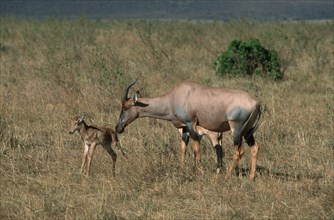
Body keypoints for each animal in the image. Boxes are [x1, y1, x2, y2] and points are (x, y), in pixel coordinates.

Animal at [116, 80, 262, 180]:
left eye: (126, 107)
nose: (118, 127)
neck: (175, 97)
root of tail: (256, 103)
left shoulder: (191, 124)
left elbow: (196, 149)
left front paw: (198, 171)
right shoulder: (184, 128)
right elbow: (183, 148)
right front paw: (182, 170)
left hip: (236, 129)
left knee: (239, 151)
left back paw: (227, 175)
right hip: (247, 131)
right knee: (255, 147)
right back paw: (251, 177)